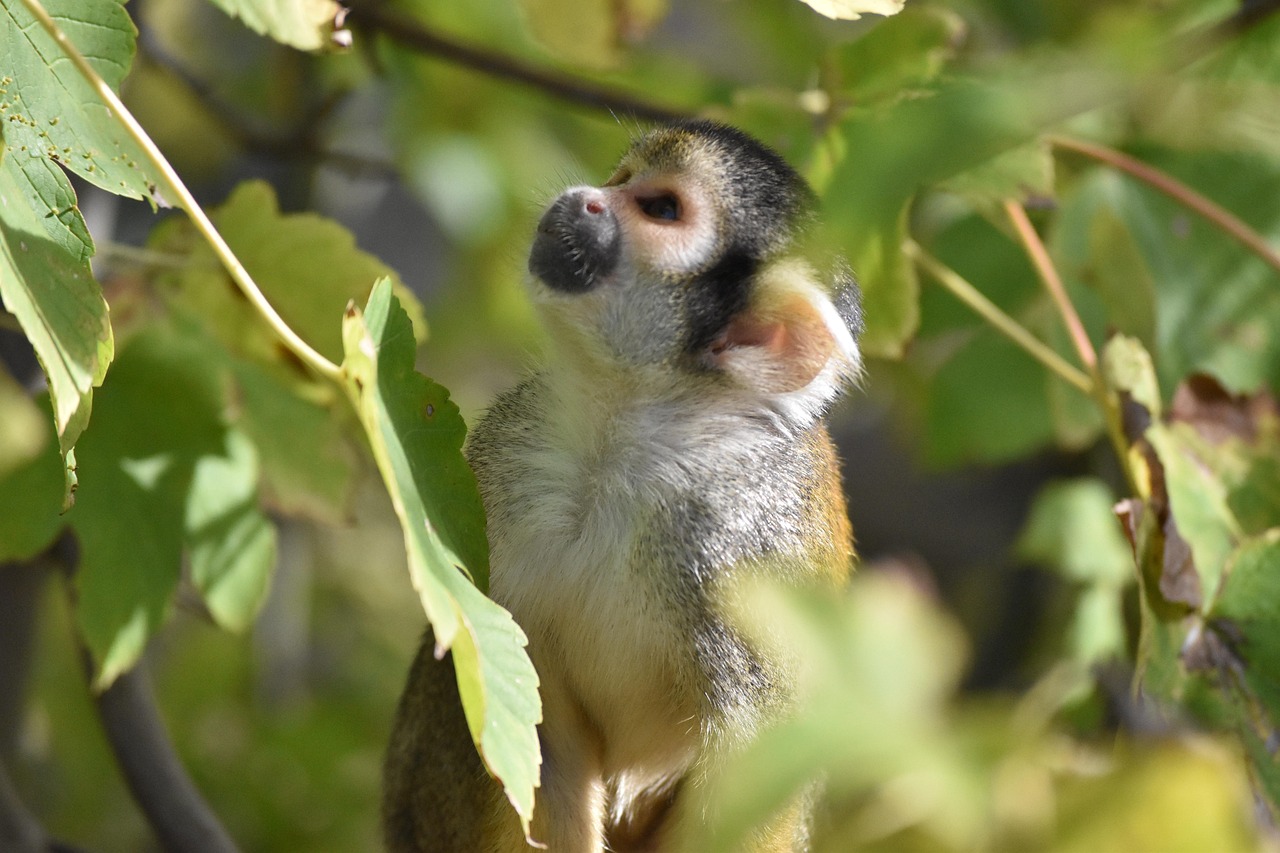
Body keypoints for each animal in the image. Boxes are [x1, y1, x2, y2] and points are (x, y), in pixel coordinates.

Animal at [382, 119, 863, 853]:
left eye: (661, 208)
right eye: (622, 178)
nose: (586, 197)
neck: (628, 447)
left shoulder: (752, 553)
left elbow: (756, 776)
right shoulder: (503, 469)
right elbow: (522, 709)